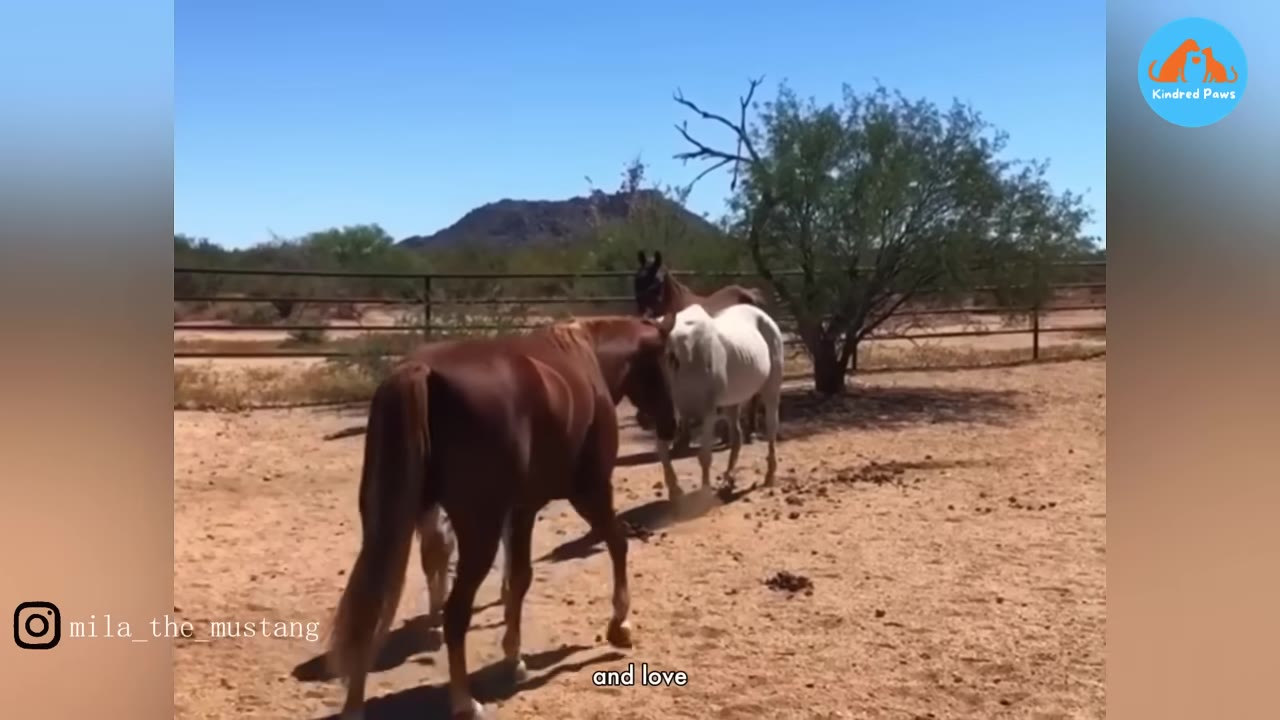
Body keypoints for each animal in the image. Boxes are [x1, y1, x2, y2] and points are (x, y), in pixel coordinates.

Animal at [325, 316, 679, 720]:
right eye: (670, 359)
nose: (671, 425)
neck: (587, 357)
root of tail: (420, 371)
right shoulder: (590, 492)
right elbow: (618, 544)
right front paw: (620, 625)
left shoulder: (522, 510)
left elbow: (518, 579)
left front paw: (514, 658)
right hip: (480, 532)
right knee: (454, 614)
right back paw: (464, 701)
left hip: (389, 526)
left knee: (370, 609)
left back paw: (355, 705)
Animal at [632, 249, 769, 447]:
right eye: (636, 281)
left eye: (657, 284)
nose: (644, 318)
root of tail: (752, 295)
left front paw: (683, 440)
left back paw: (749, 432)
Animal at [655, 302, 785, 497]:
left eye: (670, 358)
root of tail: (764, 315)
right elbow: (663, 452)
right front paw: (675, 490)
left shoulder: (707, 411)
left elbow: (705, 455)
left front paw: (704, 493)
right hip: (732, 402)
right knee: (737, 438)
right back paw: (728, 480)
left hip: (771, 390)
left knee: (771, 429)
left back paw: (769, 477)